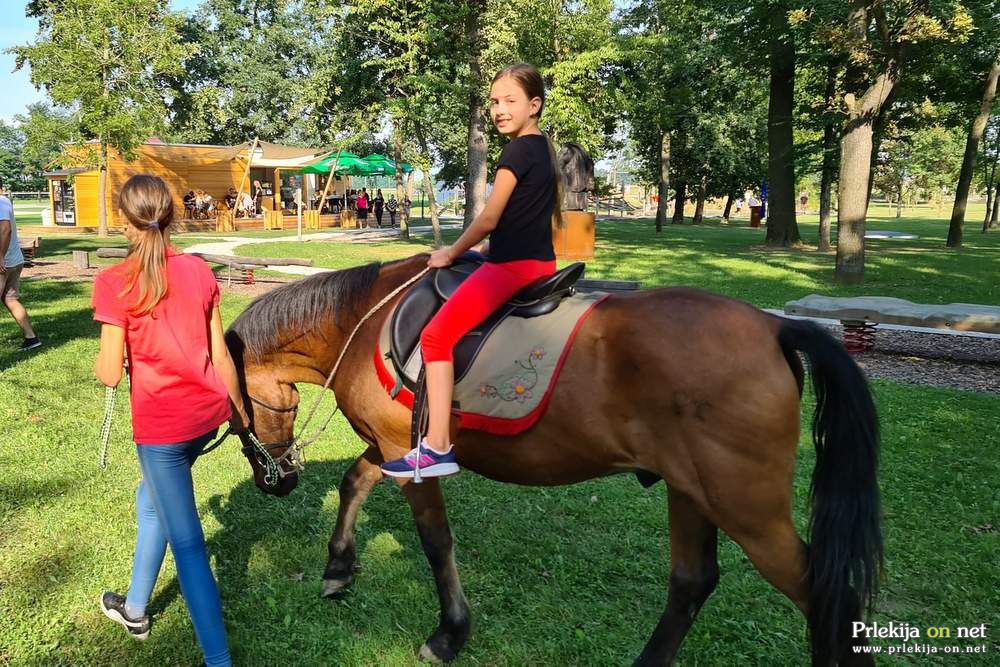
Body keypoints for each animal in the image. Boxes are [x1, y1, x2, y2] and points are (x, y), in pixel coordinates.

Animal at [223, 253, 880, 664]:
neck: (362, 325)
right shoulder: (389, 448)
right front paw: (338, 566)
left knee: (830, 596)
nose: (274, 482)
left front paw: (451, 633)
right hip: (692, 489)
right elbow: (353, 482)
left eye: (232, 417)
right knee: (692, 583)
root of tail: (776, 328)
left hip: (748, 508)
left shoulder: (410, 455)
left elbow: (436, 542)